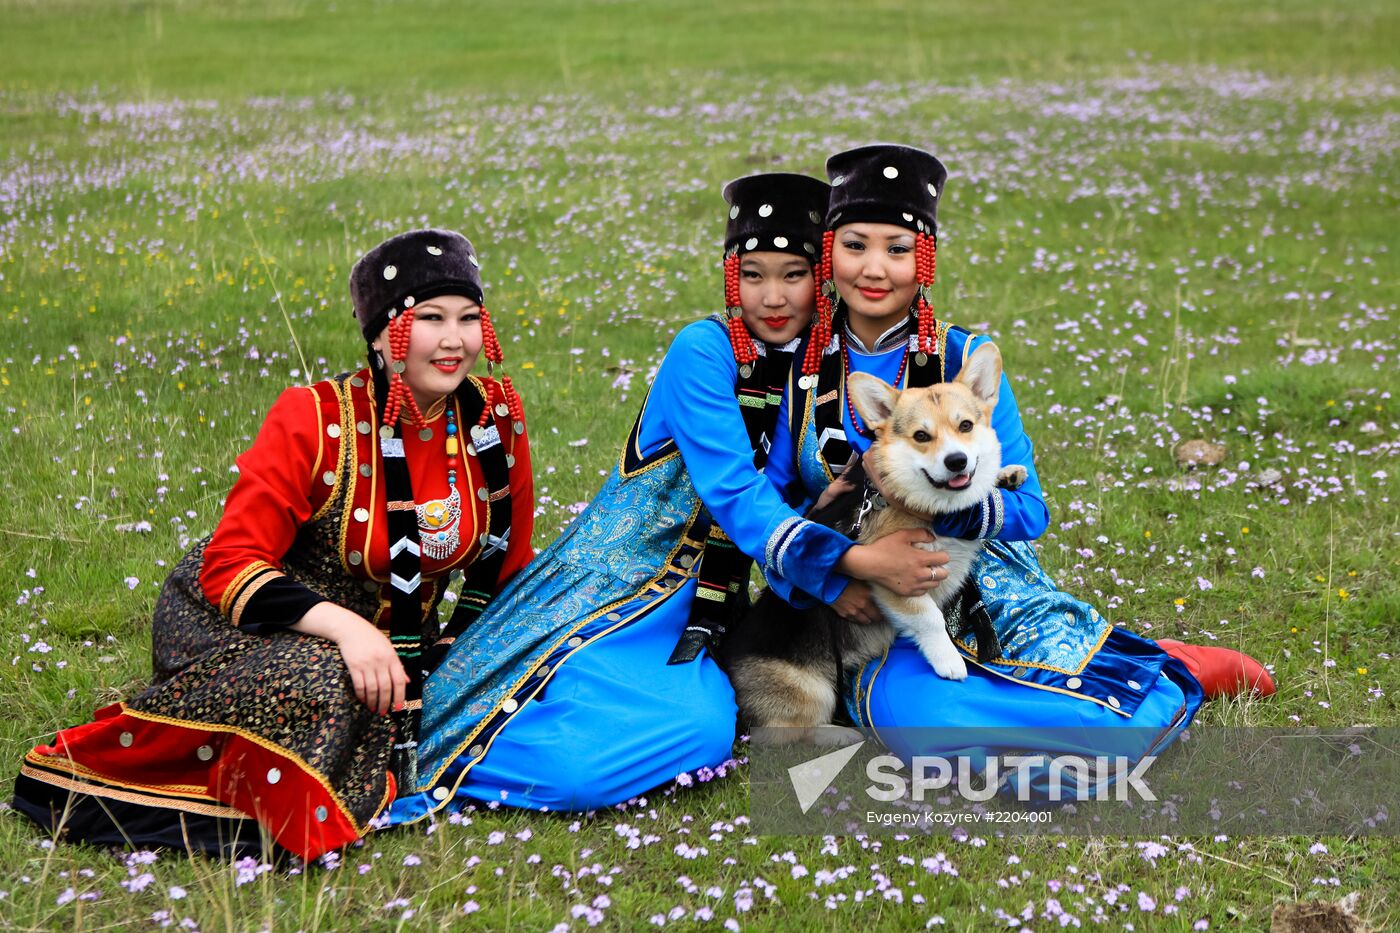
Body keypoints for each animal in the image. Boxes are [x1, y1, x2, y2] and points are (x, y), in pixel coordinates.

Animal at [716, 341, 1024, 739]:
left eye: (966, 426)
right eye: (921, 436)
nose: (957, 461)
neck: (931, 506)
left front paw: (1007, 475)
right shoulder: (897, 579)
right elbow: (929, 618)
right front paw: (950, 661)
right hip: (811, 692)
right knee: (783, 736)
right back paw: (843, 735)